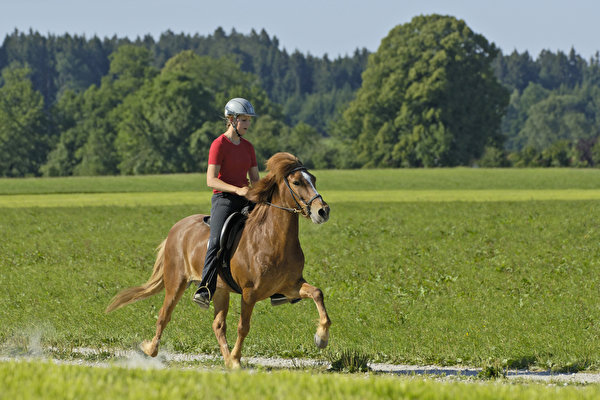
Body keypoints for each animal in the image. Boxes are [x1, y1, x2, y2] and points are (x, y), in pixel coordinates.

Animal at [105, 153, 330, 368]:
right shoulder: (249, 293)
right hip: (176, 282)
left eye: (313, 179)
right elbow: (243, 327)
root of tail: (177, 228)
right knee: (163, 316)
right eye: (297, 182)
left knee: (218, 325)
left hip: (220, 289)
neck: (271, 239)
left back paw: (227, 359)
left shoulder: (290, 286)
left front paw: (321, 338)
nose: (323, 211)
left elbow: (317, 293)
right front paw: (237, 360)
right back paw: (150, 349)